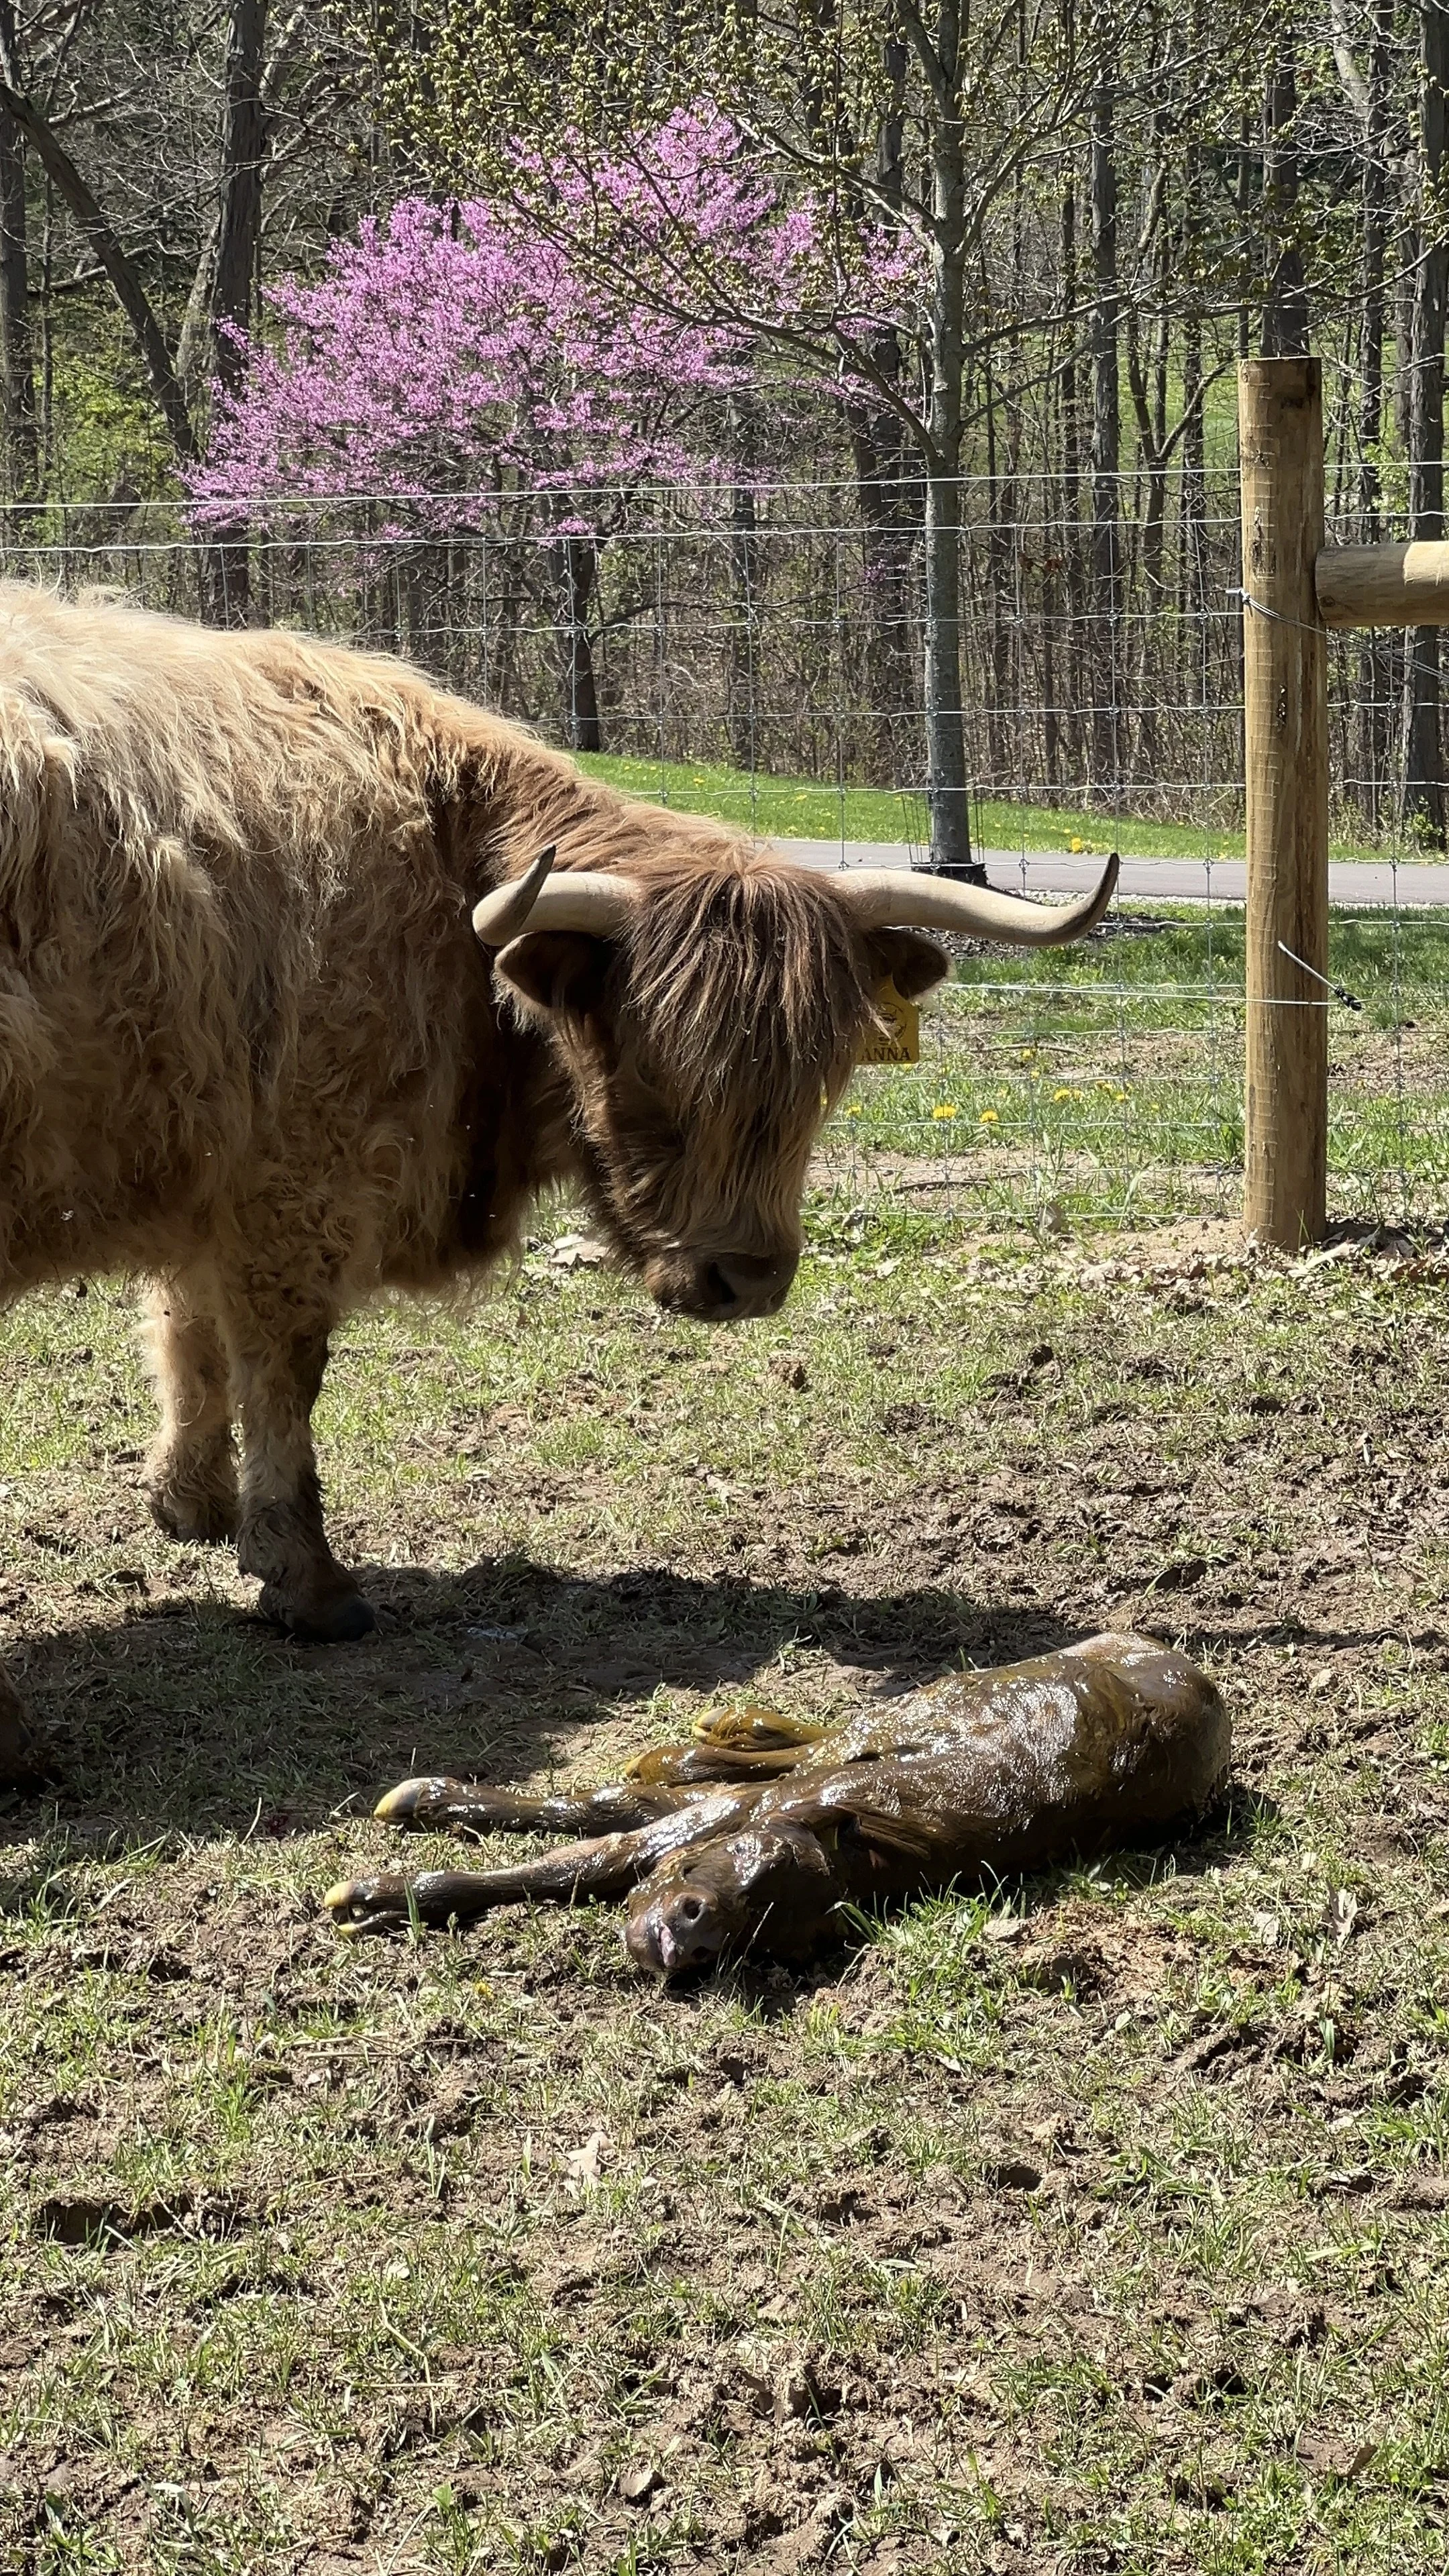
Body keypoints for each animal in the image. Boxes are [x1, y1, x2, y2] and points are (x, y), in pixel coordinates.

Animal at [0, 581, 1116, 1779]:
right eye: (651, 1065)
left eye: (822, 1075)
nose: (747, 1280)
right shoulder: (300, 1174)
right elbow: (280, 1370)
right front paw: (309, 1580)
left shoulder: (216, 1156)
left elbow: (189, 1334)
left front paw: (189, 1505)